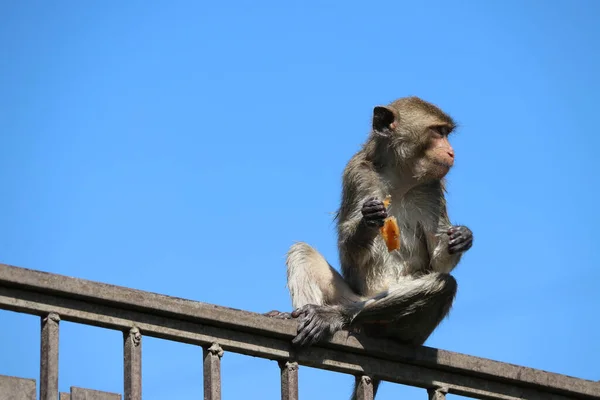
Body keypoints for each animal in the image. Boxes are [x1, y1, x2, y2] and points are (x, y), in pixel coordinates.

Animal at [268, 97, 474, 400]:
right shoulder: (358, 174)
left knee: (442, 284)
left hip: (401, 331)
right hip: (352, 295)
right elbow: (349, 249)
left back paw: (333, 316)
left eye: (446, 133)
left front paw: (461, 238)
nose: (451, 151)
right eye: (438, 132)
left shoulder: (432, 190)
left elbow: (437, 263)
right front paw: (369, 220)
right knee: (302, 251)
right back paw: (301, 313)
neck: (400, 180)